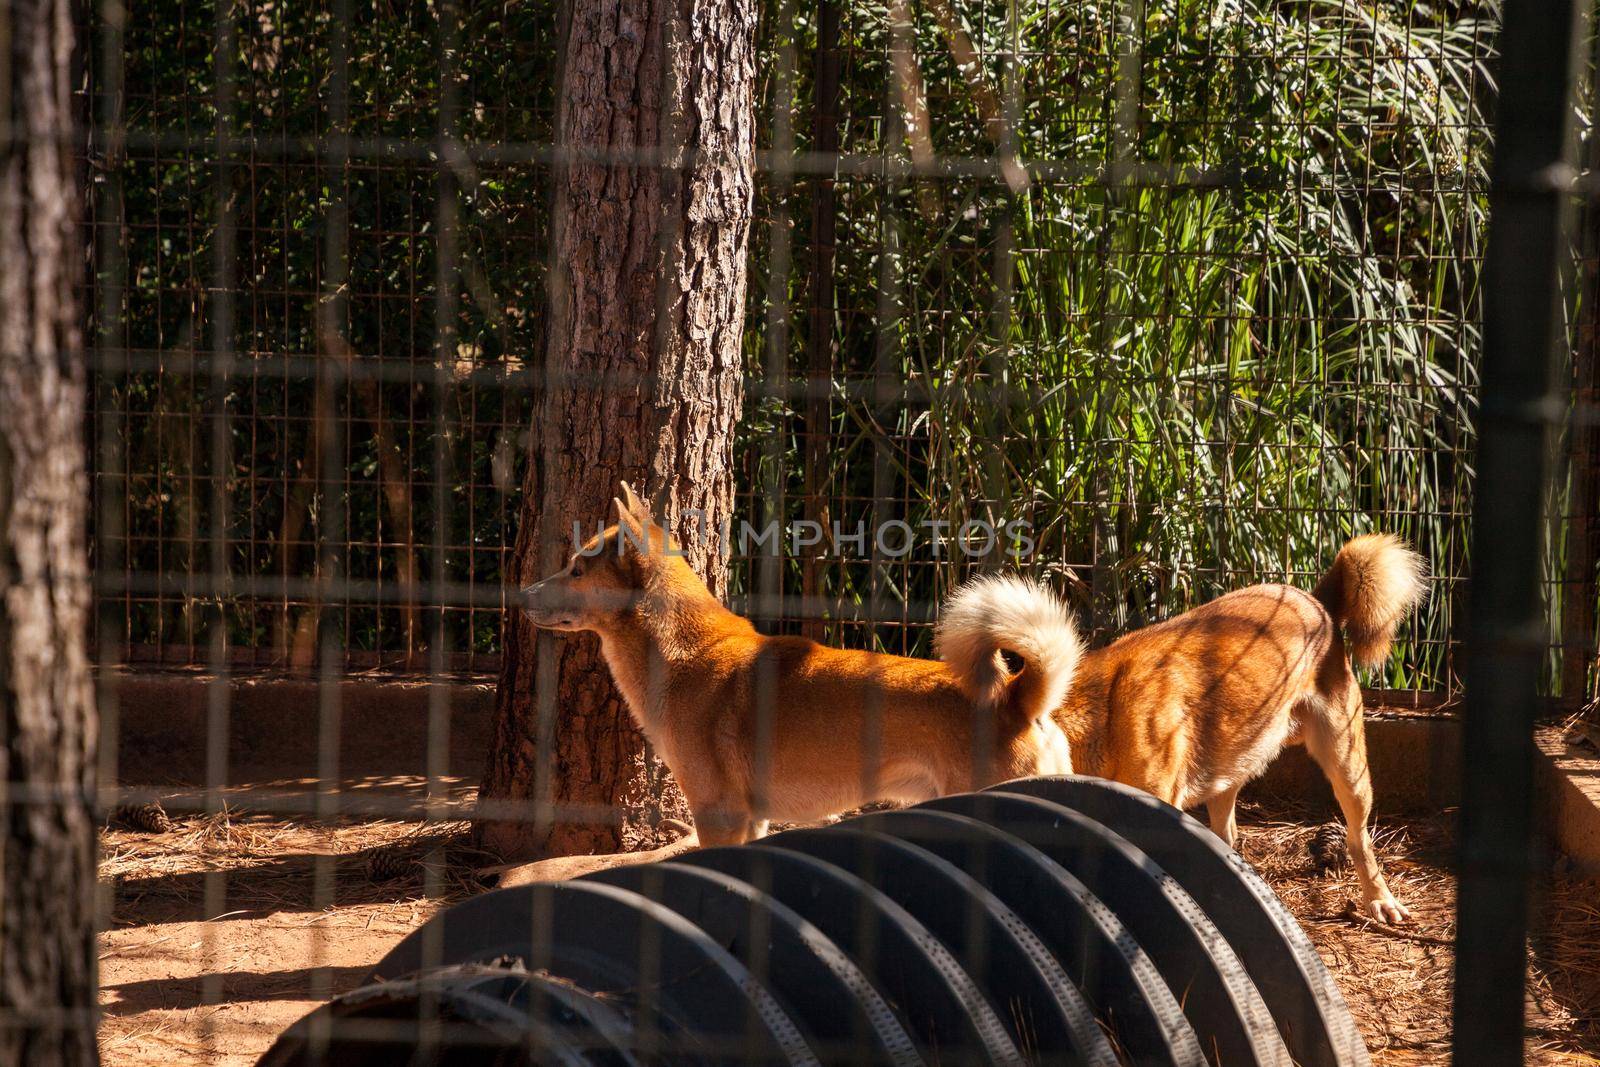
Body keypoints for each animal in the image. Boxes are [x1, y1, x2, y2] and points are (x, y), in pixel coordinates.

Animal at [518, 486, 1081, 851]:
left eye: (576, 569)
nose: (522, 594)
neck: (679, 654)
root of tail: (1016, 697)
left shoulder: (718, 814)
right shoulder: (752, 820)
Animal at [1049, 537, 1427, 921]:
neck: (1104, 720)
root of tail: (1316, 600)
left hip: (1347, 767)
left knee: (1358, 839)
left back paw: (1380, 899)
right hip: (1228, 770)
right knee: (1227, 836)